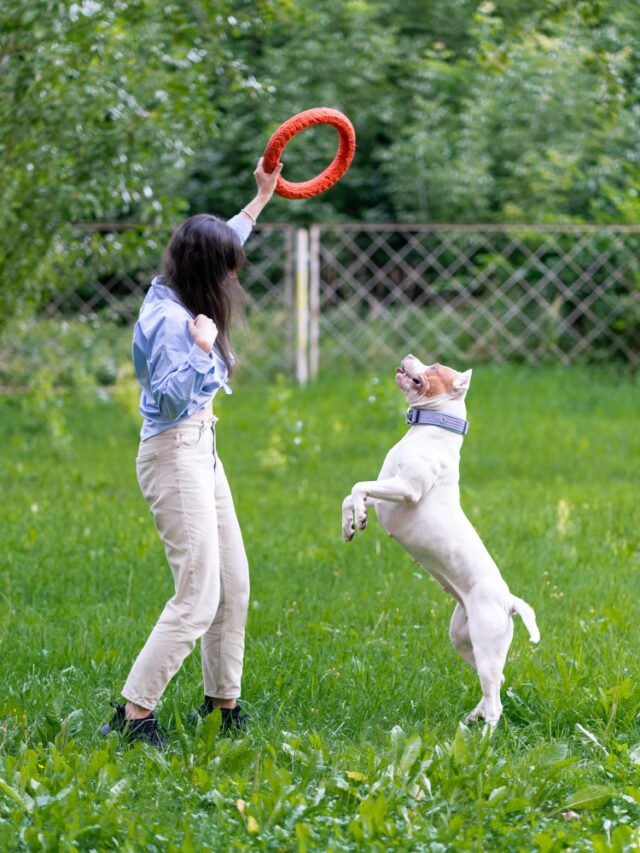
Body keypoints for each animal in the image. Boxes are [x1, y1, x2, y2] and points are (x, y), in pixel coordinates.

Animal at [342, 356, 536, 728]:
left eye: (433, 367)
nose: (408, 357)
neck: (427, 432)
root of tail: (509, 601)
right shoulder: (386, 490)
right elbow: (351, 494)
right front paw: (351, 522)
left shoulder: (406, 489)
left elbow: (358, 486)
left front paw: (357, 516)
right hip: (462, 638)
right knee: (496, 684)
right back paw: (471, 718)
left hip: (486, 644)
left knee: (496, 703)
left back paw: (483, 737)